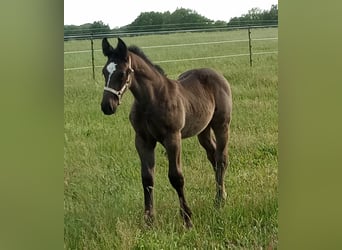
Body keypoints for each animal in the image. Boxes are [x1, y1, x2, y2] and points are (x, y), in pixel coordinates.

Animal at [99, 37, 232, 229]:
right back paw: (218, 196)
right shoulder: (143, 140)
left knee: (221, 159)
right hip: (203, 130)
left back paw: (220, 200)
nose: (107, 106)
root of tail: (216, 74)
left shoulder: (173, 138)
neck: (151, 99)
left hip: (222, 124)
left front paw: (187, 219)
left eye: (122, 73)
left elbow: (176, 177)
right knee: (213, 157)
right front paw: (149, 220)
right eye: (104, 72)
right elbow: (147, 178)